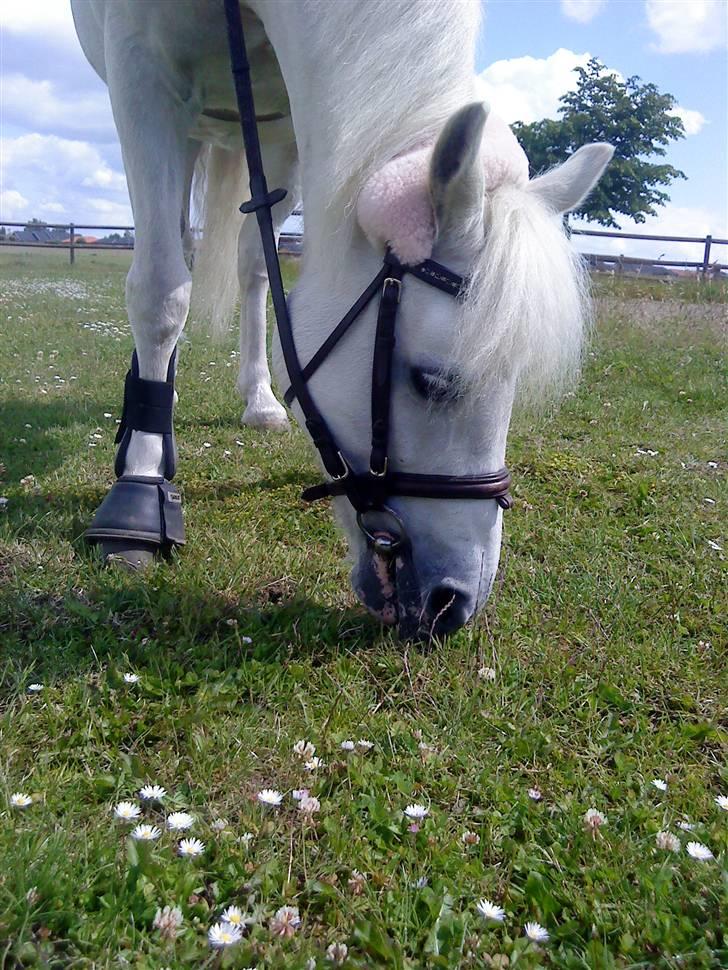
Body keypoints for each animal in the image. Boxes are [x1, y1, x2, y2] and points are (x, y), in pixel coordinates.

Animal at [74, 1, 612, 644]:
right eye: (432, 381)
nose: (453, 604)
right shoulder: (142, 72)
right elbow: (160, 291)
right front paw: (139, 486)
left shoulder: (291, 119)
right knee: (172, 248)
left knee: (251, 262)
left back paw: (255, 400)